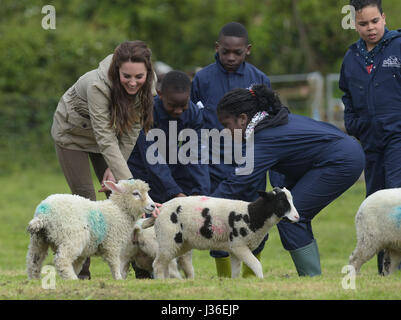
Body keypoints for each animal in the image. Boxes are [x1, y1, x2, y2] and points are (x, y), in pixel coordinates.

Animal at [26, 180, 155, 280]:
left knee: (33, 261)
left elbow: (77, 264)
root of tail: (43, 214)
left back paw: (35, 279)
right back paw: (72, 279)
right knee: (62, 259)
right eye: (135, 193)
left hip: (38, 240)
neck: (119, 210)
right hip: (72, 237)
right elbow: (115, 263)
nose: (153, 206)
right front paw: (118, 278)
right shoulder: (112, 244)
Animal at [143, 186, 296, 278]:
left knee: (168, 263)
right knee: (158, 264)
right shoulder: (239, 245)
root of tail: (161, 208)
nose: (297, 217)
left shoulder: (234, 249)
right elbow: (256, 265)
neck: (251, 215)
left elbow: (236, 271)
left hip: (181, 243)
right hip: (168, 239)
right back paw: (162, 281)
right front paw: (261, 281)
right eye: (281, 201)